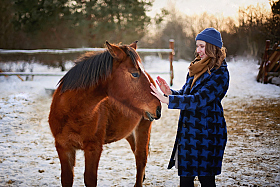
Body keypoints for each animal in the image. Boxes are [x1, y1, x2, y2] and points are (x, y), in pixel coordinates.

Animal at [49, 41, 161, 187]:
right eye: (135, 74)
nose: (158, 108)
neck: (72, 113)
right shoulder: (63, 147)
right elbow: (67, 178)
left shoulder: (93, 148)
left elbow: (90, 179)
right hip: (129, 133)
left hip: (143, 128)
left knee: (141, 158)